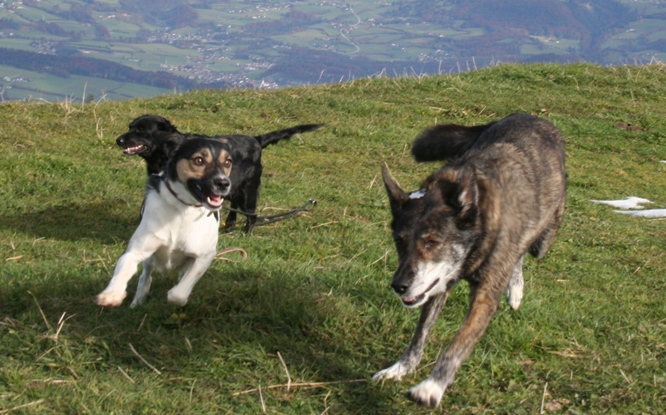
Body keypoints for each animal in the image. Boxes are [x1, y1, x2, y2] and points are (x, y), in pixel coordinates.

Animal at [96, 137, 233, 308]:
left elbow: (178, 294)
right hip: (149, 258)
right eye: (199, 160)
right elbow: (124, 267)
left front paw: (178, 296)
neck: (182, 209)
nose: (223, 183)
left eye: (227, 162)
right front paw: (112, 294)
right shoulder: (135, 250)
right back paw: (138, 300)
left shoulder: (205, 256)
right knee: (145, 275)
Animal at [116, 114, 324, 234]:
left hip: (248, 190)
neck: (167, 152)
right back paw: (229, 227)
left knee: (251, 214)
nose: (118, 140)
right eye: (130, 126)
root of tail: (256, 140)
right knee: (235, 208)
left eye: (140, 130)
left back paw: (245, 234)